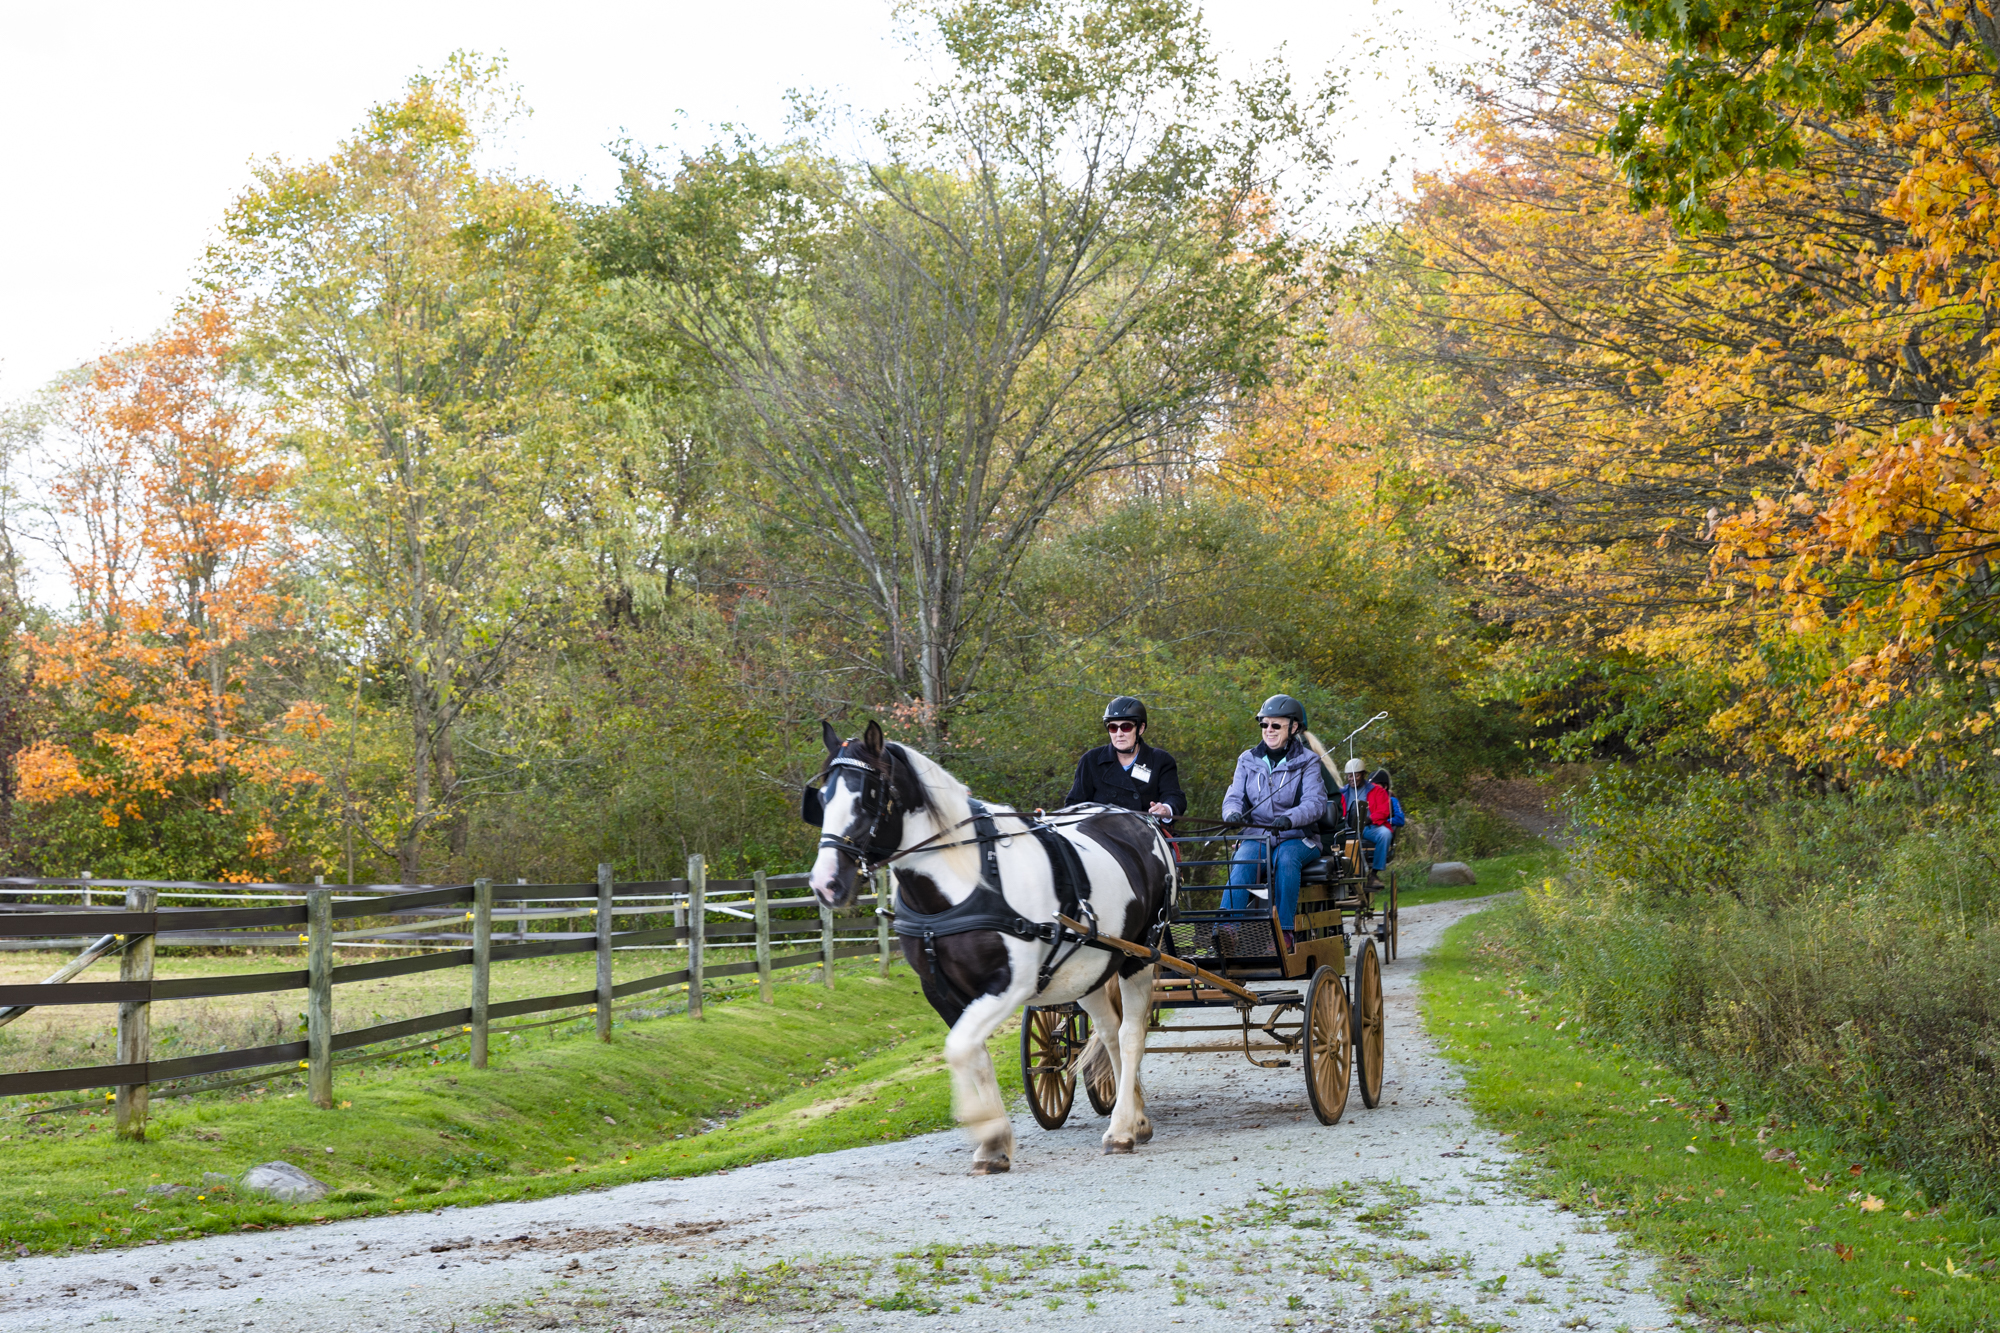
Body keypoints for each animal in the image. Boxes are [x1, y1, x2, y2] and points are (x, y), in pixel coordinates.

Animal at [800, 720, 1168, 1168]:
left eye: (869, 794)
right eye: (821, 798)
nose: (826, 884)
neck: (963, 882)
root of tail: (1137, 820)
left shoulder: (1010, 985)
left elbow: (959, 1049)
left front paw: (983, 1126)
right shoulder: (940, 990)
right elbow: (972, 1053)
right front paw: (993, 1141)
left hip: (1138, 957)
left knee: (1132, 1035)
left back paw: (1121, 1129)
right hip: (1091, 970)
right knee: (1110, 1032)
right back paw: (1136, 1117)